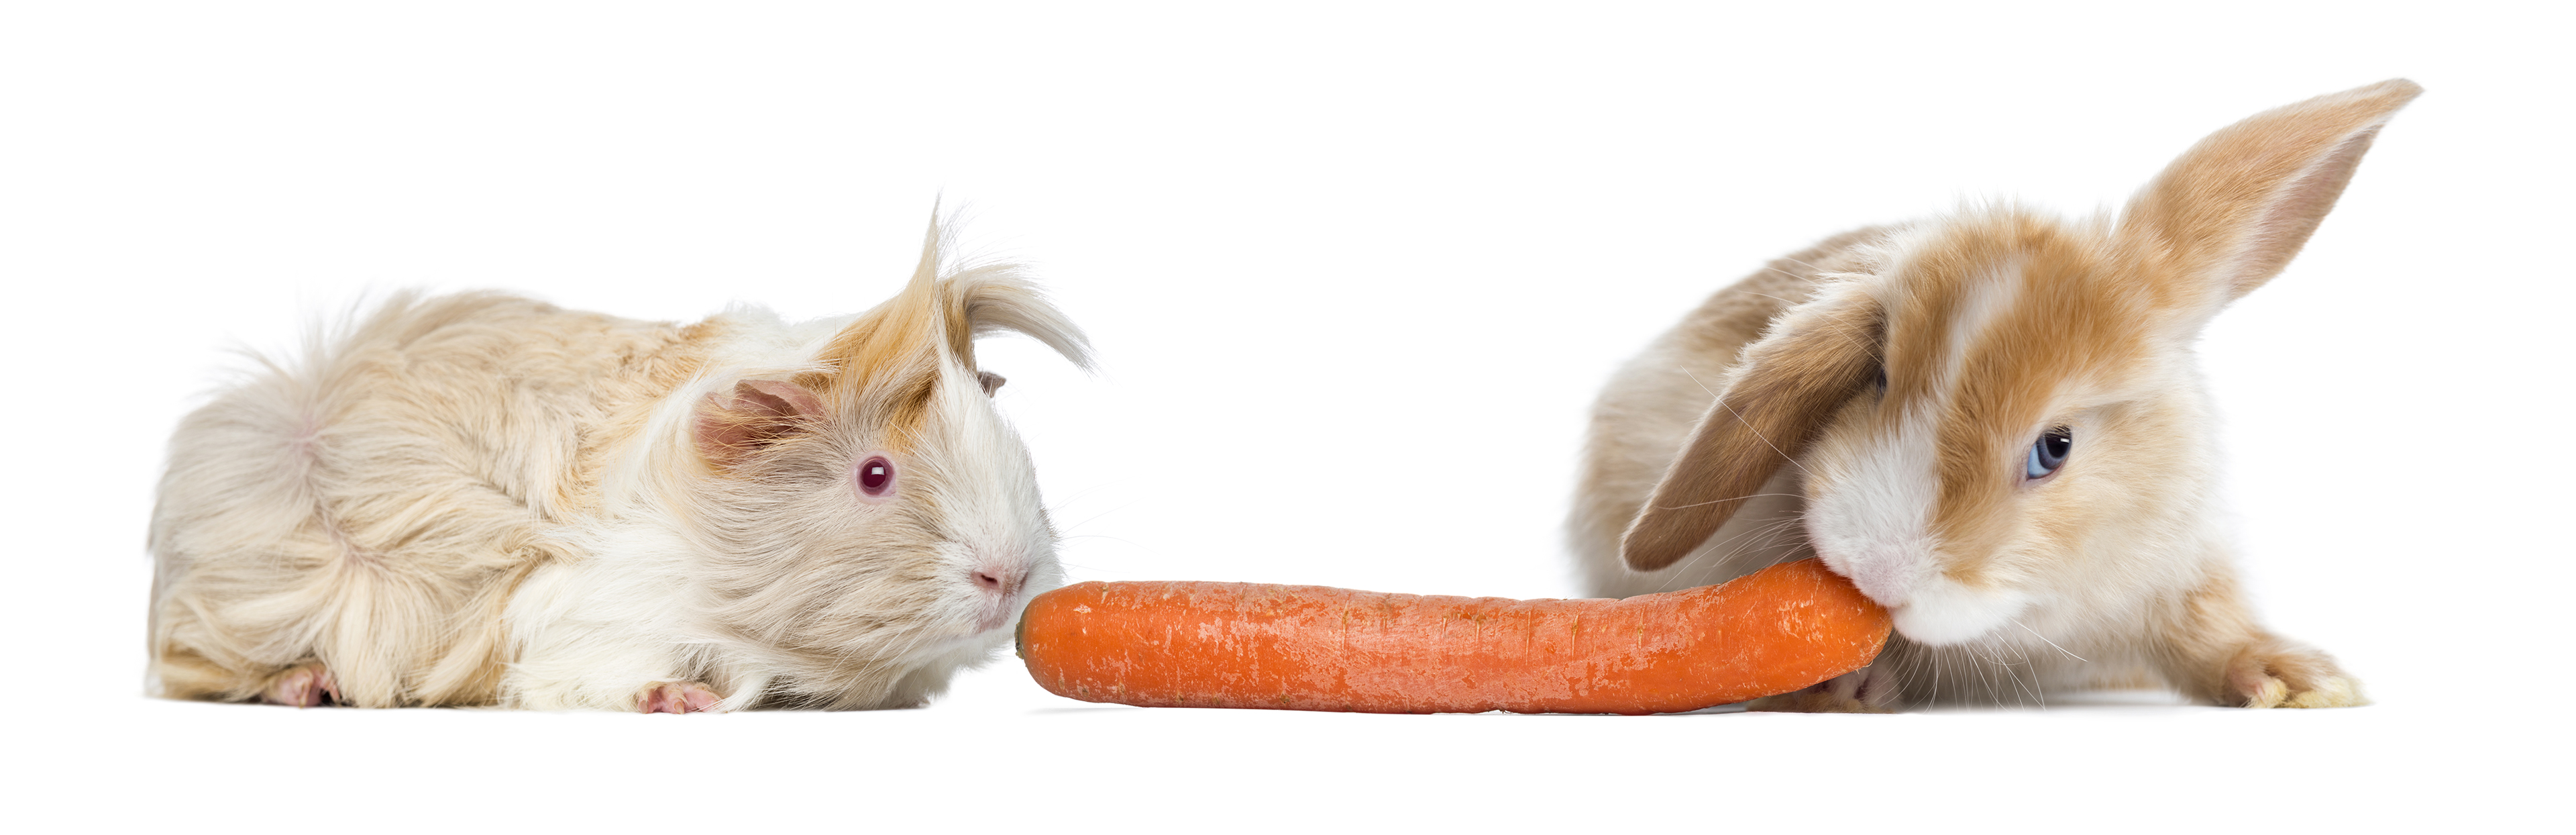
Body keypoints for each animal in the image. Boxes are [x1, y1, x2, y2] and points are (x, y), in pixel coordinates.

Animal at [1569, 80, 2419, 711]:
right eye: (1878, 378)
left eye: (2055, 447)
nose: (1880, 572)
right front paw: (1841, 683)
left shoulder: (2175, 574)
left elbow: (2208, 634)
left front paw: (2297, 679)